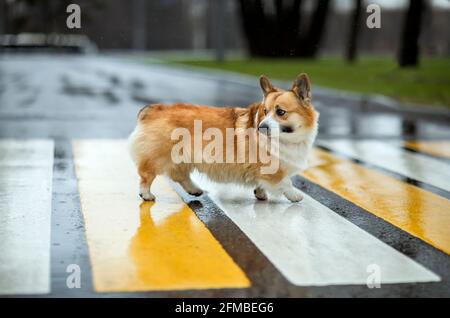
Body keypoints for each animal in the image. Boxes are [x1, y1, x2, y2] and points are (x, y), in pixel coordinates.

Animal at [129, 73, 320, 202]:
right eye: (265, 111)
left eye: (280, 112)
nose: (261, 127)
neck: (287, 138)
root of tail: (152, 109)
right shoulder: (274, 169)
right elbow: (286, 182)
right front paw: (295, 196)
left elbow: (262, 184)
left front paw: (260, 193)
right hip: (158, 157)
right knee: (146, 176)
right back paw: (146, 195)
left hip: (182, 158)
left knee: (180, 176)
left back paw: (195, 190)